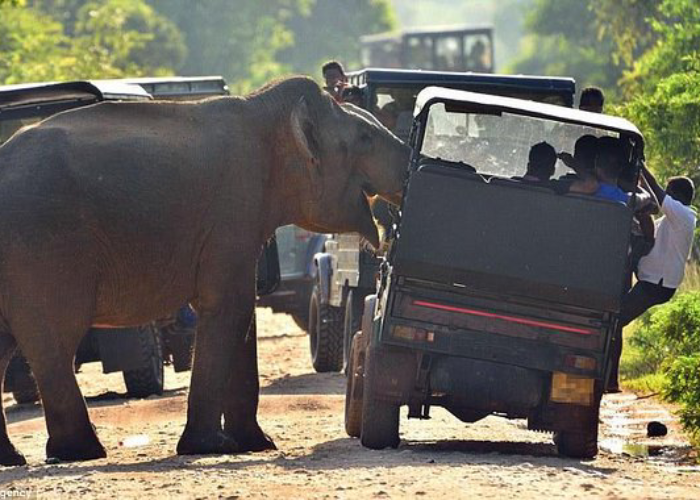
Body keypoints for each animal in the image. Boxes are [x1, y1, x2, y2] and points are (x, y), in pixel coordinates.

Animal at [0, 76, 410, 466]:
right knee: (53, 338)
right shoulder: (232, 210)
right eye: (365, 137)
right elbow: (229, 306)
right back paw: (81, 452)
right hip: (42, 245)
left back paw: (16, 457)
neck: (263, 112)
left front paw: (256, 445)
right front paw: (211, 447)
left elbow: (242, 313)